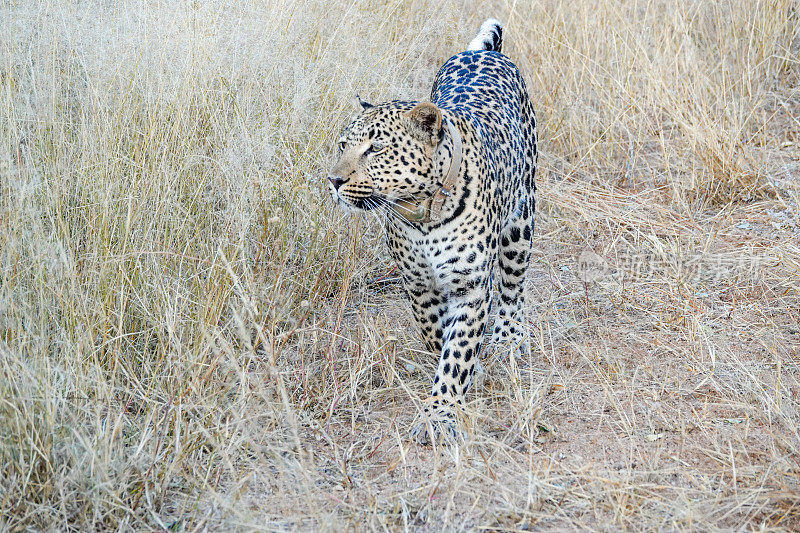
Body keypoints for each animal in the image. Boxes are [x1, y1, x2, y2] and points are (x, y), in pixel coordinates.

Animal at [324, 18, 536, 442]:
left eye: (376, 149)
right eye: (342, 145)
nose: (334, 181)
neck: (424, 216)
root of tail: (481, 51)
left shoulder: (470, 286)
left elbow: (457, 353)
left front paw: (440, 413)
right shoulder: (418, 284)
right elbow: (437, 335)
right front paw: (465, 376)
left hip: (521, 221)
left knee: (512, 285)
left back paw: (508, 337)